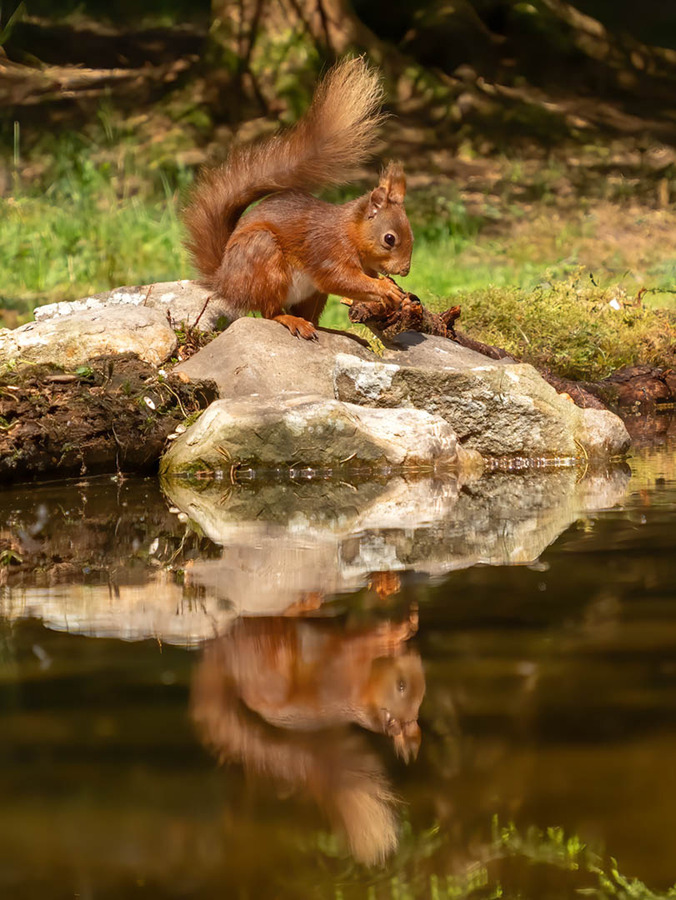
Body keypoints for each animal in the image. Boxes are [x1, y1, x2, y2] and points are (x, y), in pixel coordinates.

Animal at [184, 59, 412, 342]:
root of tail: (225, 283)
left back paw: (321, 326)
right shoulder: (326, 251)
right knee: (270, 312)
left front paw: (392, 287)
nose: (405, 270)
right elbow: (341, 279)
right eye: (389, 239)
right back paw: (292, 321)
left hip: (313, 295)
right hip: (265, 261)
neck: (350, 232)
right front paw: (384, 288)